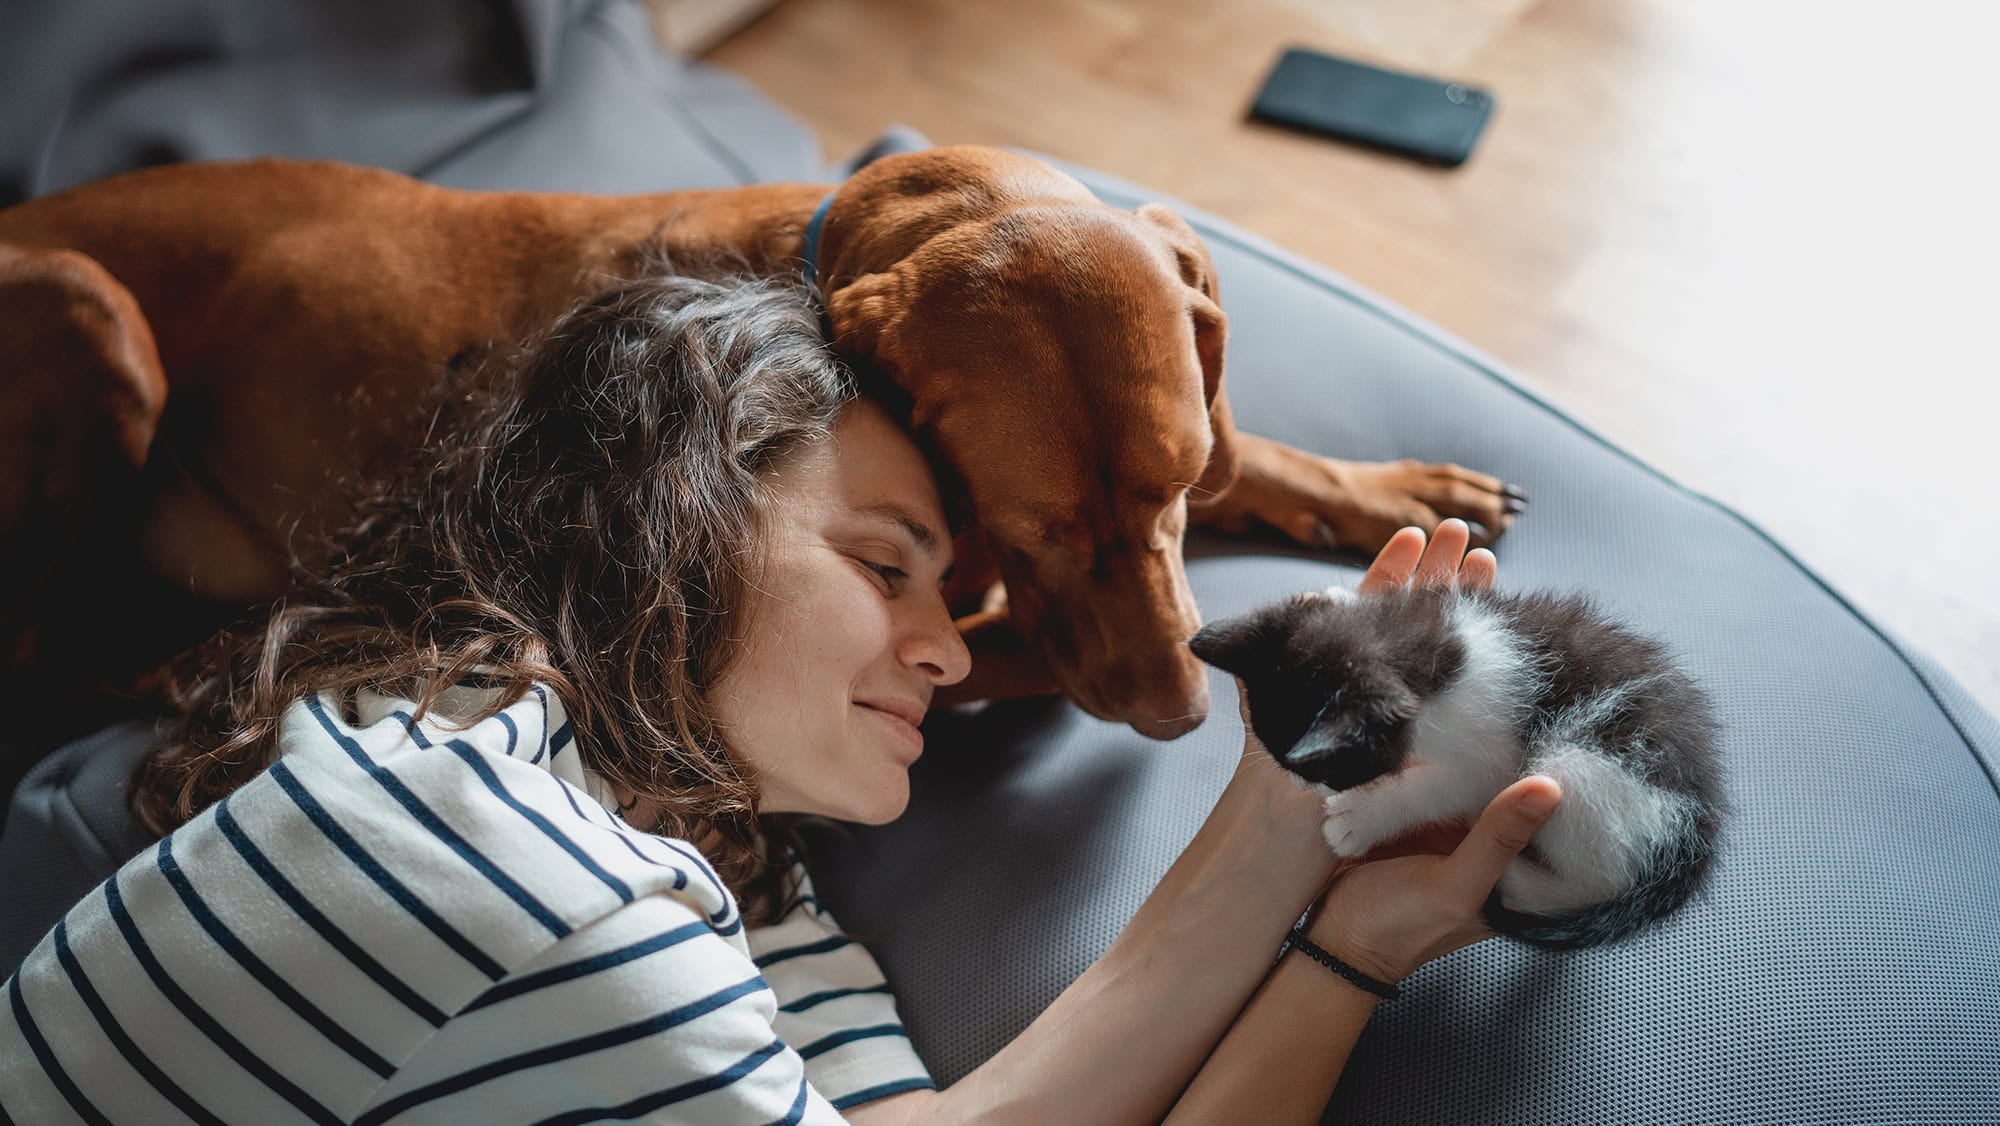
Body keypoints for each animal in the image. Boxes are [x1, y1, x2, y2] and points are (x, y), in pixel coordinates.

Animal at [0, 150, 1520, 744]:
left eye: (1174, 496)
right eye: (1037, 528)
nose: (1180, 719)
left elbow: (1261, 455)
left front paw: (1391, 484)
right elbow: (1001, 654)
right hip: (92, 310)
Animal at [1184, 588, 1720, 948]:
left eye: (1328, 770)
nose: (1301, 781)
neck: (1428, 649)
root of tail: (1697, 838)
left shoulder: (1490, 755)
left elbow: (1446, 788)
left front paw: (1359, 818)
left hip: (1584, 766)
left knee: (1596, 877)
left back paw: (1519, 878)